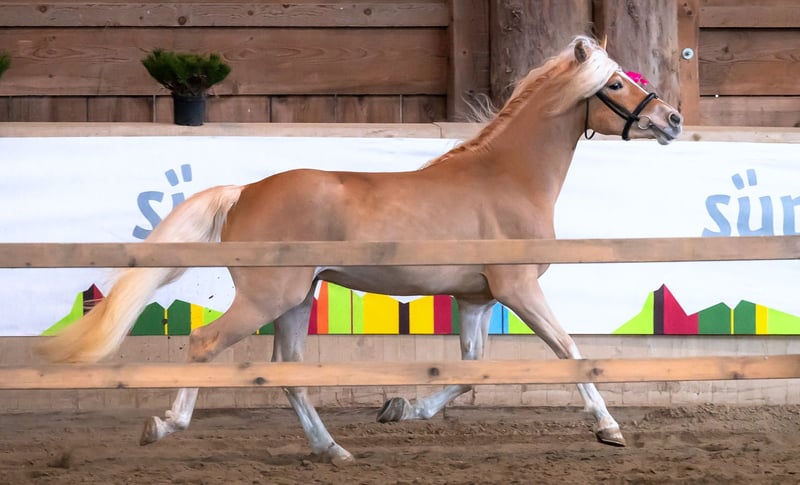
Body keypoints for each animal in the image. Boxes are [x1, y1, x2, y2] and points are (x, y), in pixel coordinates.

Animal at [40, 35, 682, 465]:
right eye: (615, 83)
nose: (672, 119)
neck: (508, 176)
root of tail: (246, 191)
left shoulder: (477, 297)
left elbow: (470, 370)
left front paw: (399, 409)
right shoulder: (519, 288)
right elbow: (570, 351)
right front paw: (610, 429)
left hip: (298, 299)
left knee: (289, 373)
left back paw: (334, 450)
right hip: (270, 297)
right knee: (203, 343)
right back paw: (164, 425)